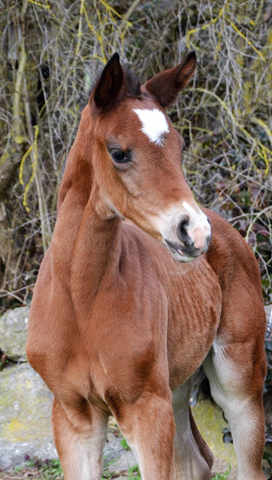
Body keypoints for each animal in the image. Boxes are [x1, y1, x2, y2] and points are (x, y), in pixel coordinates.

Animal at [26, 53, 266, 480]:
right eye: (119, 152)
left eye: (181, 146)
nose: (194, 232)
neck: (79, 300)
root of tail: (226, 227)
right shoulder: (72, 415)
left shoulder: (145, 409)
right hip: (177, 387)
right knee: (196, 463)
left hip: (237, 383)